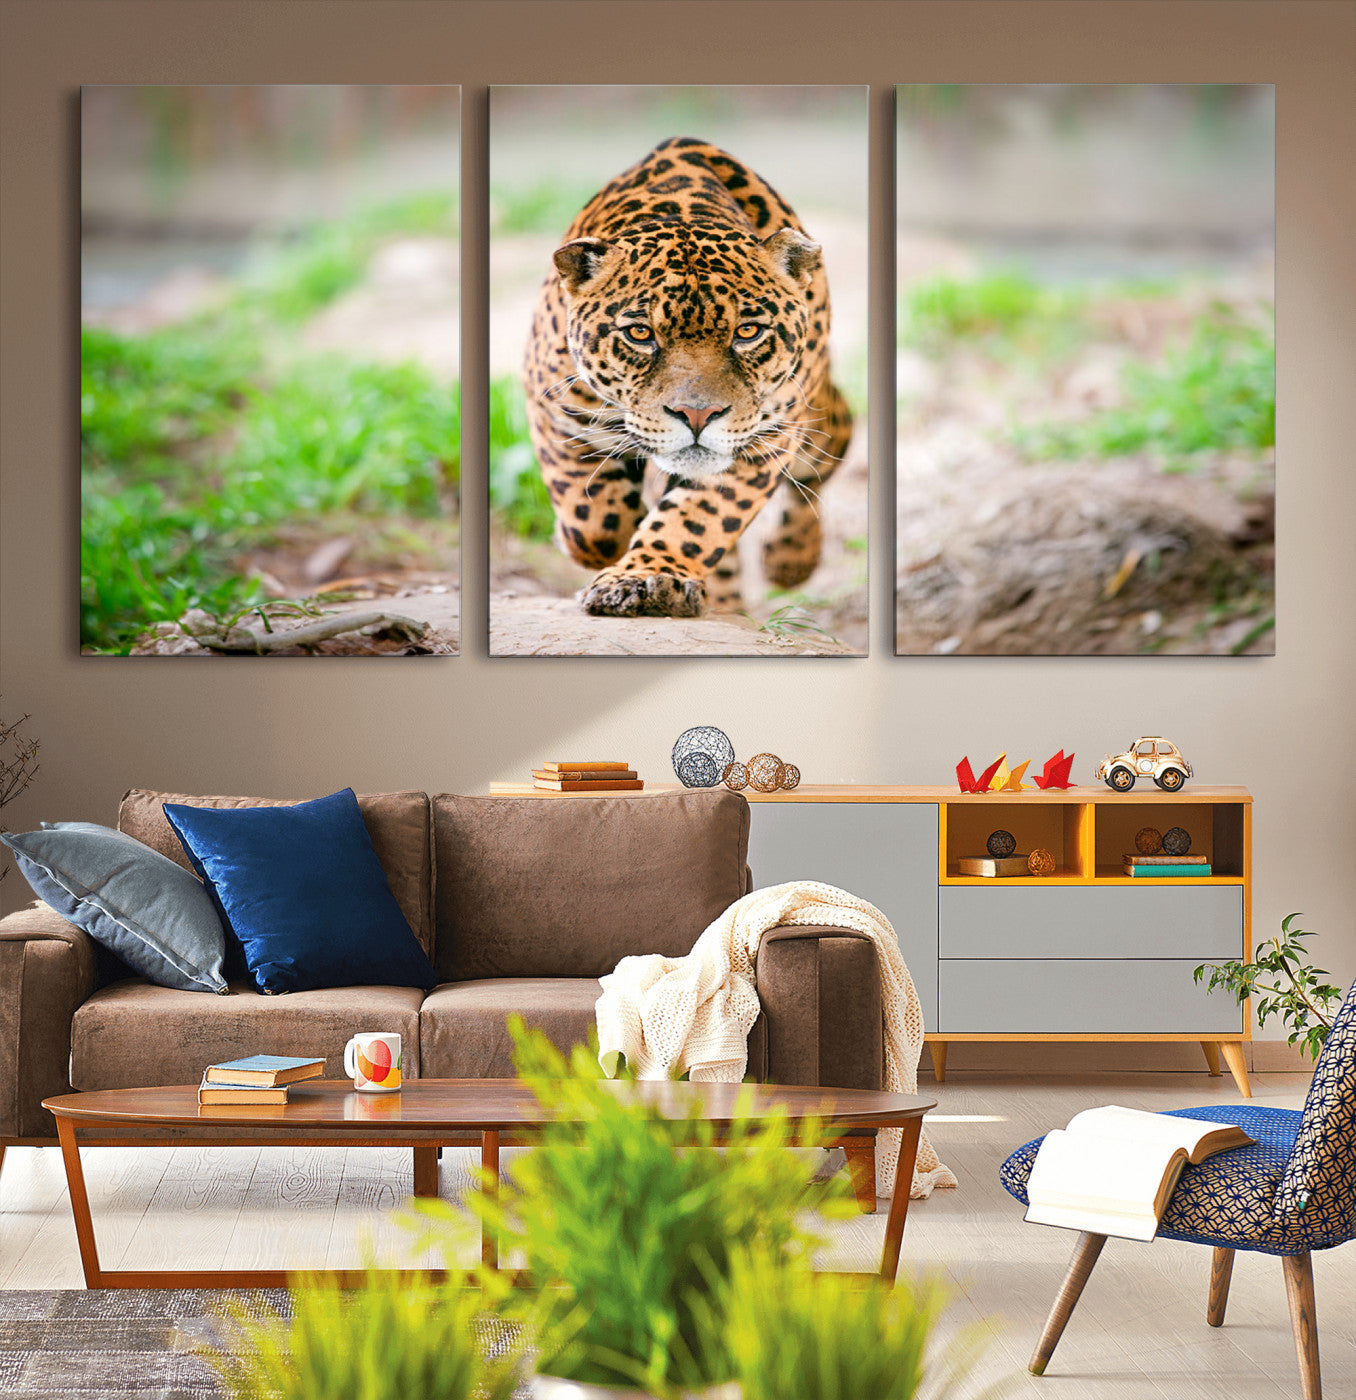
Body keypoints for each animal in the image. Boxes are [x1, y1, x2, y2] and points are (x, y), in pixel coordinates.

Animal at [522, 136, 854, 619]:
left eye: (747, 332)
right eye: (640, 333)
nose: (697, 416)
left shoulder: (764, 440)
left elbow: (699, 518)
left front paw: (646, 577)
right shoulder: (556, 409)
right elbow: (592, 520)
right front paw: (608, 546)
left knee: (825, 453)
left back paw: (790, 560)